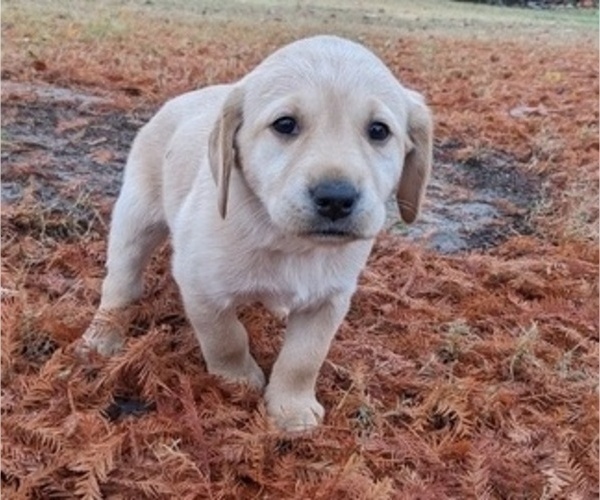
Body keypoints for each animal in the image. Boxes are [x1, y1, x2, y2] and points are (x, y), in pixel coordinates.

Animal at [82, 35, 434, 432]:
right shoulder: (200, 287)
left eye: (378, 131)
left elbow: (304, 357)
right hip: (136, 218)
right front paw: (237, 381)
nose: (336, 198)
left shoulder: (330, 299)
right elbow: (226, 338)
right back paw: (103, 335)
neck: (288, 242)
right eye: (285, 125)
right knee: (120, 283)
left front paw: (292, 409)